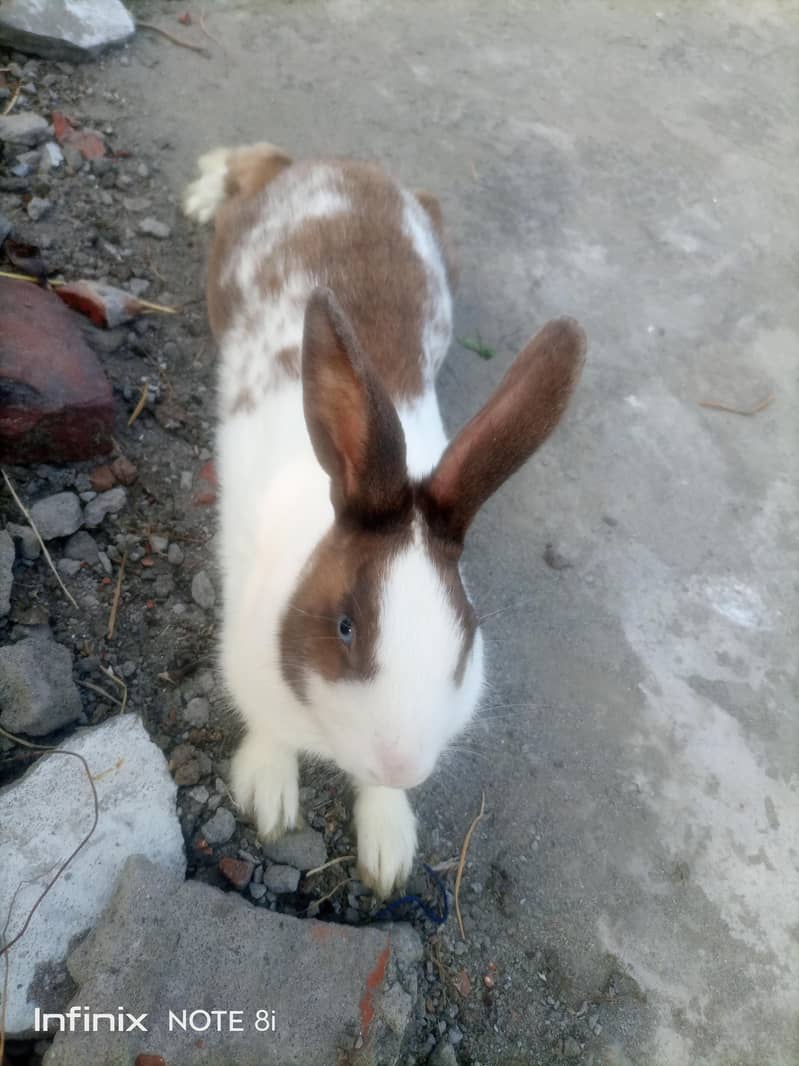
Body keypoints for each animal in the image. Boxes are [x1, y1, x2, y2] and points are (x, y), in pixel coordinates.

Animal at [183, 142, 586, 897]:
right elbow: (266, 732)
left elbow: (378, 803)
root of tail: (337, 168)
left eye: (466, 636)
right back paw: (201, 191)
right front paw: (270, 797)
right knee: (252, 162)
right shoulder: (248, 669)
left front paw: (389, 847)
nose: (400, 761)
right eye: (345, 627)